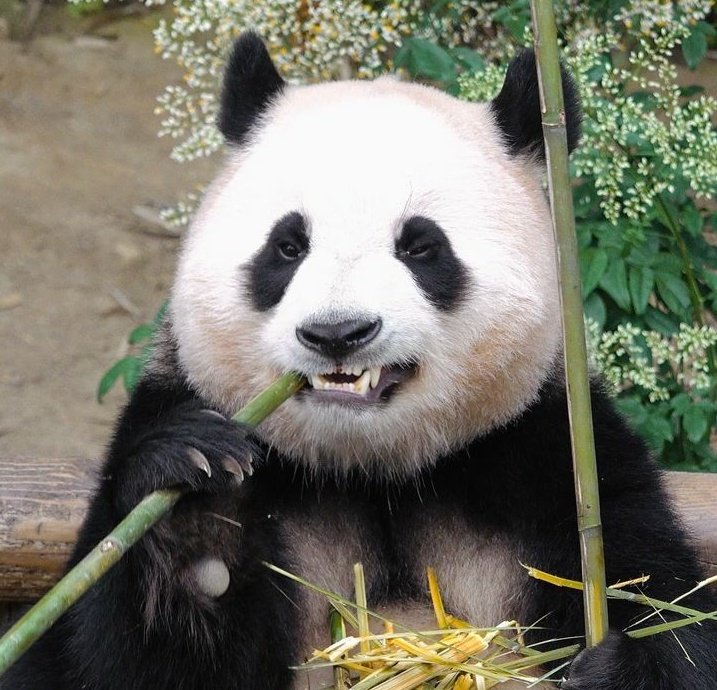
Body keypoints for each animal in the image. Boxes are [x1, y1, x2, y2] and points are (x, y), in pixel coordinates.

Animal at [4, 32, 716, 690]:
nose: (337, 332)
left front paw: (617, 664)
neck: (373, 470)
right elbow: (110, 659)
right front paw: (197, 496)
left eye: (421, 247)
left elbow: (667, 607)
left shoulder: (549, 457)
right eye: (287, 246)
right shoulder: (181, 404)